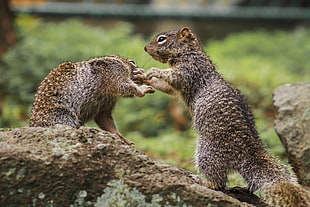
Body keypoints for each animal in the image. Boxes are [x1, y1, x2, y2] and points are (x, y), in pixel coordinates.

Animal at [145, 27, 310, 207]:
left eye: (162, 39)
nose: (145, 48)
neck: (189, 52)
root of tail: (246, 153)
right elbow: (167, 88)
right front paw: (145, 78)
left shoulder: (190, 70)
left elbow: (173, 78)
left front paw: (153, 71)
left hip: (207, 153)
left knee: (219, 182)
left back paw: (204, 182)